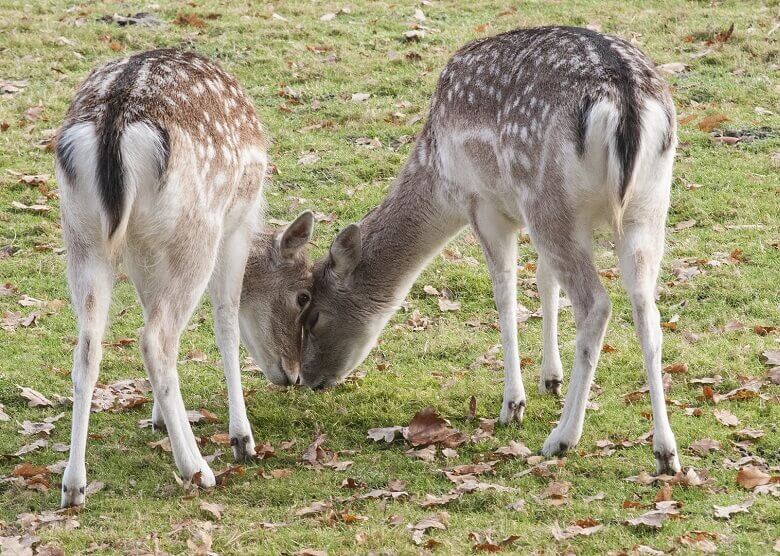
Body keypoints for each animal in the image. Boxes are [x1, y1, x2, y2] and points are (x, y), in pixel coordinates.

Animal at [53, 50, 316, 506]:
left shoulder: (142, 250)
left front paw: (159, 416)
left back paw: (73, 484)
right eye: (303, 295)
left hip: (82, 234)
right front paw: (242, 438)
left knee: (88, 345)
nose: (294, 375)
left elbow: (148, 305)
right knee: (155, 339)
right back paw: (197, 467)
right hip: (197, 230)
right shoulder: (235, 224)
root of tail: (114, 127)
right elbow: (227, 321)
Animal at [298, 27, 684, 474]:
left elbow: (505, 294)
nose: (307, 378)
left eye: (315, 315)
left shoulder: (483, 205)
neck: (437, 174)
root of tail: (624, 100)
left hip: (547, 195)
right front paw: (549, 379)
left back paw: (562, 438)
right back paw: (665, 452)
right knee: (646, 310)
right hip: (645, 207)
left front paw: (513, 405)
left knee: (596, 305)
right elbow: (544, 281)